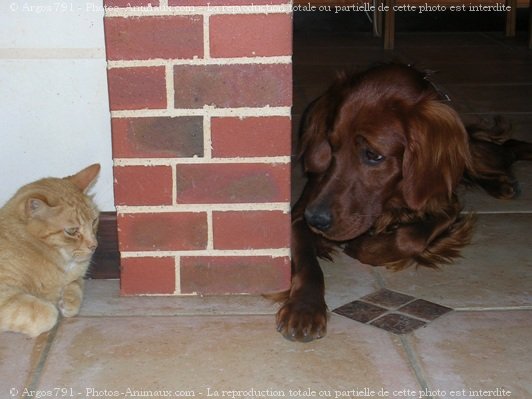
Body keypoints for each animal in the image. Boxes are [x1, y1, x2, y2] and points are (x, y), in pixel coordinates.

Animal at [0, 165, 100, 338]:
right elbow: (48, 313)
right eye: (72, 231)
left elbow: (76, 286)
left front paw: (68, 301)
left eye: (94, 221)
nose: (94, 245)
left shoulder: (76, 277)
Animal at [278, 64, 532, 342]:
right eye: (332, 146)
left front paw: (366, 245)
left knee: (503, 149)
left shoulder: (444, 202)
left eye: (373, 155)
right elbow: (308, 263)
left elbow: (410, 238)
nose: (317, 219)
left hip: (468, 154)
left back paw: (505, 179)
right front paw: (305, 308)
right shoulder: (300, 213)